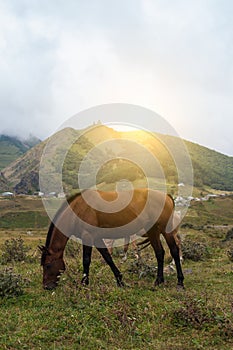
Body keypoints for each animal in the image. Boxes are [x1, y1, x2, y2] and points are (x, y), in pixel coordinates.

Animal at [40, 189, 185, 290]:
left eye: (47, 265)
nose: (46, 286)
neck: (77, 210)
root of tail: (167, 196)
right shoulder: (97, 238)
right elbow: (108, 258)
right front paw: (120, 280)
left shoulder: (88, 236)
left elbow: (86, 260)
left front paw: (84, 283)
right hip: (153, 231)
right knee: (160, 253)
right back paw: (159, 281)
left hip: (165, 231)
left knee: (174, 251)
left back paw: (180, 282)